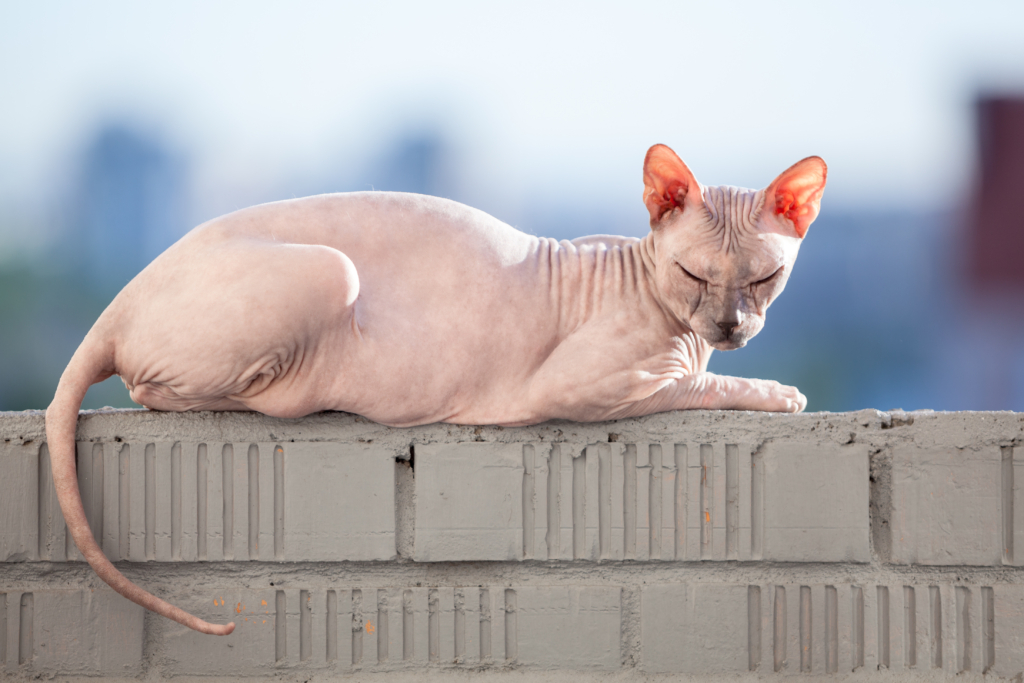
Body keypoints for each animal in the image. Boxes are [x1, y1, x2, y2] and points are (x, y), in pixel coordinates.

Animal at [48, 143, 827, 634]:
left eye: (765, 277)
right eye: (694, 274)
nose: (730, 324)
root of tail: (118, 302)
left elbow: (703, 371)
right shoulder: (595, 384)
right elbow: (701, 381)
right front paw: (781, 392)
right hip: (329, 272)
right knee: (164, 392)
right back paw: (320, 385)